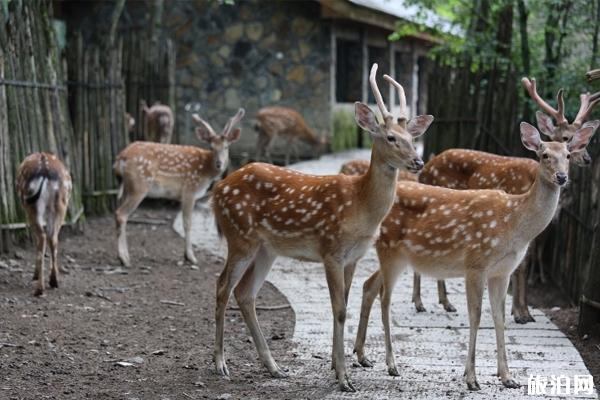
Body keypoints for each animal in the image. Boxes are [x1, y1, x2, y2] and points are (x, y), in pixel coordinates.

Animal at [16, 152, 72, 296]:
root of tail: (44, 171)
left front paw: (35, 275)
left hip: (31, 207)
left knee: (42, 237)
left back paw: (39, 288)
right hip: (61, 206)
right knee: (53, 238)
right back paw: (54, 281)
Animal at [113, 108, 245, 268]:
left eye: (226, 146)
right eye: (211, 147)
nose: (219, 164)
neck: (206, 172)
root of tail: (120, 158)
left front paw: (187, 256)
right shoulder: (190, 189)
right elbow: (187, 223)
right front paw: (191, 257)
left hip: (126, 186)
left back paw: (123, 256)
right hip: (139, 185)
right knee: (121, 214)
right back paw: (124, 259)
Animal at [213, 64, 434, 392]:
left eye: (411, 136)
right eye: (391, 137)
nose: (418, 161)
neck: (360, 206)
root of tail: (218, 189)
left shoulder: (353, 256)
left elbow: (344, 304)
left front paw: (334, 366)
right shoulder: (331, 250)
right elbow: (339, 309)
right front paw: (343, 378)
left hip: (267, 248)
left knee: (245, 293)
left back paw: (274, 367)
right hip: (239, 236)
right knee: (222, 286)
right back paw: (220, 364)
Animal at [352, 122, 596, 390]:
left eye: (568, 155)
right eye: (544, 155)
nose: (561, 177)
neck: (514, 224)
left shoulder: (503, 271)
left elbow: (499, 317)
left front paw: (508, 377)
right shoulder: (476, 263)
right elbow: (476, 316)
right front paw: (471, 378)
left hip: (399, 256)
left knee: (368, 285)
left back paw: (362, 356)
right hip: (389, 249)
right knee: (384, 298)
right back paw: (391, 364)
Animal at [412, 79, 600, 322]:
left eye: (581, 142)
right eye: (566, 137)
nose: (586, 158)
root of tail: (426, 167)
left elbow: (526, 260)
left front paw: (521, 311)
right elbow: (523, 263)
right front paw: (521, 314)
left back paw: (445, 303)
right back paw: (420, 302)